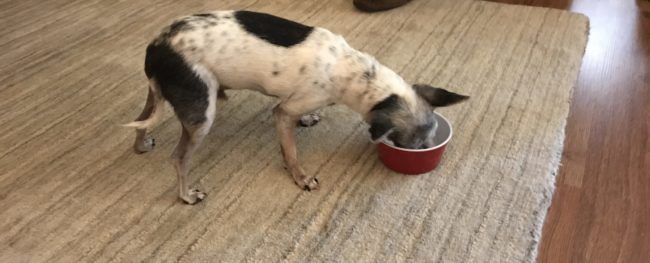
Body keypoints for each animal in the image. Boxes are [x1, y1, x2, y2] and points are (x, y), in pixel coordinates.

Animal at [123, 10, 466, 205]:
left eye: (429, 143)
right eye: (411, 147)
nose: (425, 154)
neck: (358, 74)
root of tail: (157, 45)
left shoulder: (291, 105)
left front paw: (309, 120)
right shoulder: (284, 112)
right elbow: (291, 151)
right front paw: (300, 177)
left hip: (159, 93)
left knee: (141, 120)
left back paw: (141, 146)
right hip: (201, 111)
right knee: (179, 158)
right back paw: (186, 195)